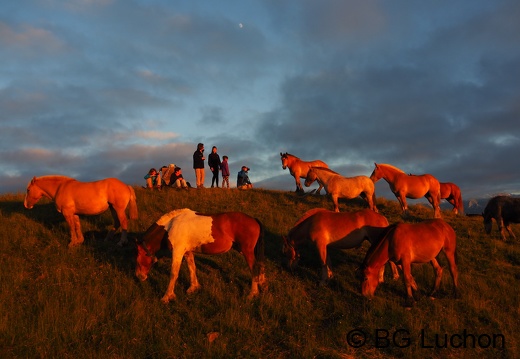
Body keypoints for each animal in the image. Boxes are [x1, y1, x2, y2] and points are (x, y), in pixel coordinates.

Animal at [136, 208, 266, 304]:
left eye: (138, 257)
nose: (138, 276)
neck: (170, 226)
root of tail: (253, 220)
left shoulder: (177, 251)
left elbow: (174, 273)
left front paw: (167, 296)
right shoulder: (187, 252)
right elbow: (192, 268)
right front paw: (193, 287)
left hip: (247, 252)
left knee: (255, 268)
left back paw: (252, 294)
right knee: (260, 266)